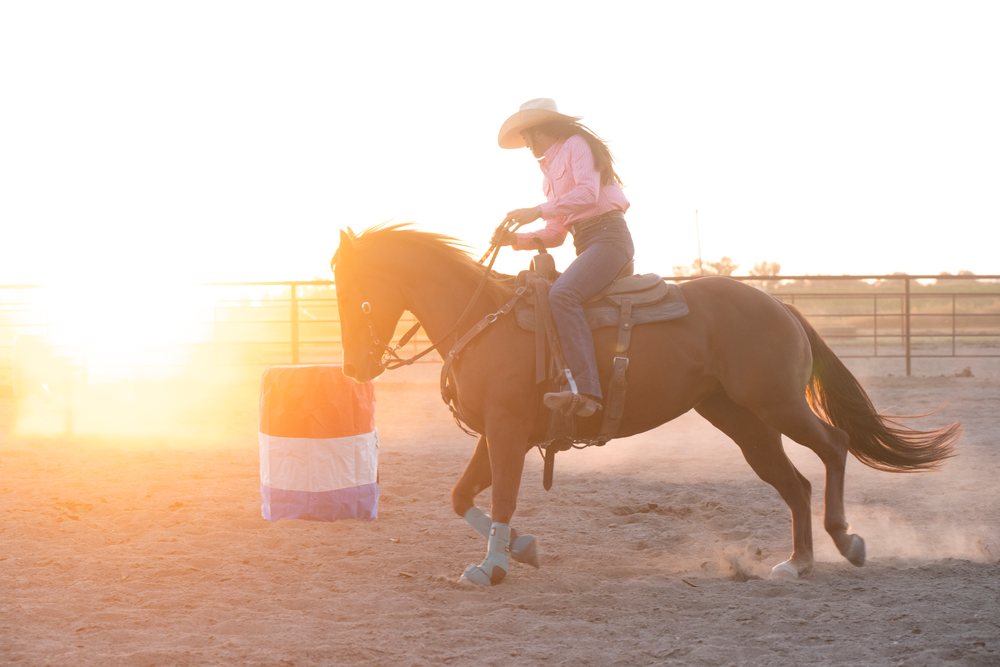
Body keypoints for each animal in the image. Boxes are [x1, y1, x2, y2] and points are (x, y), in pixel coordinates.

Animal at [331, 224, 959, 586]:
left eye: (356, 288)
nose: (355, 367)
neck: (485, 320)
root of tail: (779, 305)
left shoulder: (507, 433)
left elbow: (502, 495)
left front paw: (493, 566)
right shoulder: (495, 433)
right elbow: (461, 495)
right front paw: (524, 549)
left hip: (777, 403)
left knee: (833, 445)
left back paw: (845, 540)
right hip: (742, 421)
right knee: (793, 482)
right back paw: (798, 562)